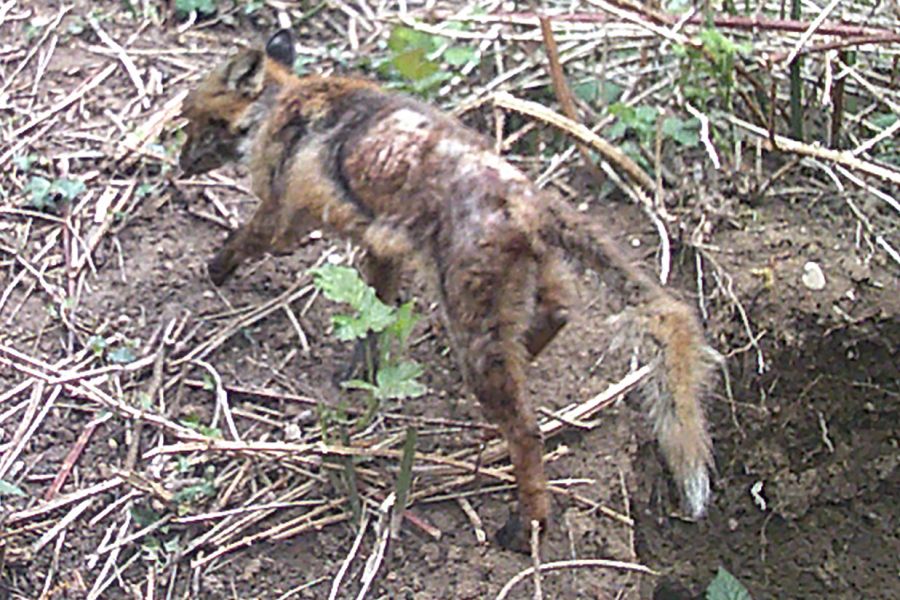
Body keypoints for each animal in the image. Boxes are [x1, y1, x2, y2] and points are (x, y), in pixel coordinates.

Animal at [178, 29, 714, 548]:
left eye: (190, 119)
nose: (179, 165)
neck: (285, 104)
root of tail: (528, 199)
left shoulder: (282, 219)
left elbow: (242, 240)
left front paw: (214, 270)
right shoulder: (381, 243)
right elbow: (374, 316)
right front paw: (360, 372)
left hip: (473, 323)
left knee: (528, 431)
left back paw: (528, 524)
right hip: (523, 288)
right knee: (559, 312)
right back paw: (522, 359)